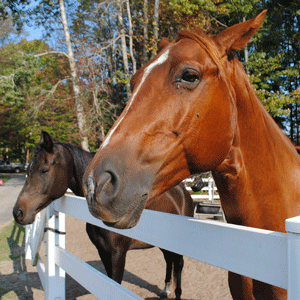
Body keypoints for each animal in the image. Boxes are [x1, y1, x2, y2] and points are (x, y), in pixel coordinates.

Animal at [12, 132, 193, 300]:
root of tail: (183, 192)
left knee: (178, 264)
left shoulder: (118, 254)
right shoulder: (103, 252)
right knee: (169, 260)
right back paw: (166, 290)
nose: (18, 212)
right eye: (28, 170)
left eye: (44, 169)